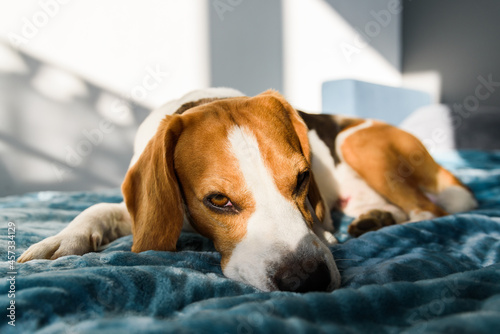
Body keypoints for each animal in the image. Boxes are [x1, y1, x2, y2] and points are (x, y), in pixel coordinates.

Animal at [17, 87, 476, 292]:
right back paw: (373, 218)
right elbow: (98, 208)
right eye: (218, 200)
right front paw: (61, 240)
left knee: (429, 211)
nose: (306, 280)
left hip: (357, 143)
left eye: (302, 178)